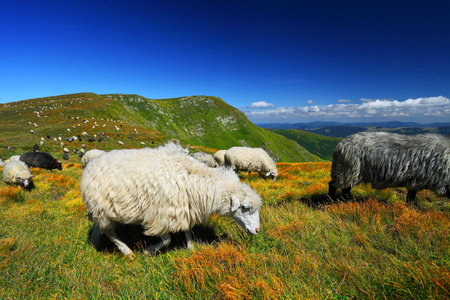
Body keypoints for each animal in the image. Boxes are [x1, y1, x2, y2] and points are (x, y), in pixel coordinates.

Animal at [79, 143, 262, 258]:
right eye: (245, 207)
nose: (257, 230)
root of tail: (91, 165)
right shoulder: (161, 214)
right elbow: (166, 241)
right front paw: (148, 251)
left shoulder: (184, 207)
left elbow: (187, 229)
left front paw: (191, 247)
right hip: (102, 206)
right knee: (109, 231)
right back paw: (127, 252)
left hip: (103, 208)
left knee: (100, 228)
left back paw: (96, 242)